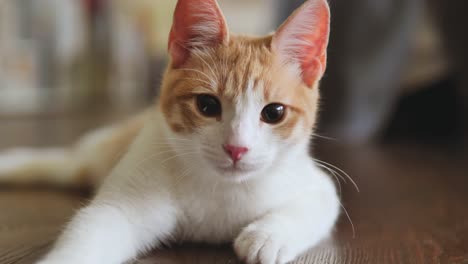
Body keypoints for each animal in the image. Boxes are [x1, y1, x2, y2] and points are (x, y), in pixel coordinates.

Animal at [0, 0, 338, 264]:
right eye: (207, 105)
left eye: (274, 113)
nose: (236, 148)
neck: (220, 188)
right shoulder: (125, 201)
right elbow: (96, 228)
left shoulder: (315, 184)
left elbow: (315, 204)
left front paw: (267, 236)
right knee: (65, 161)